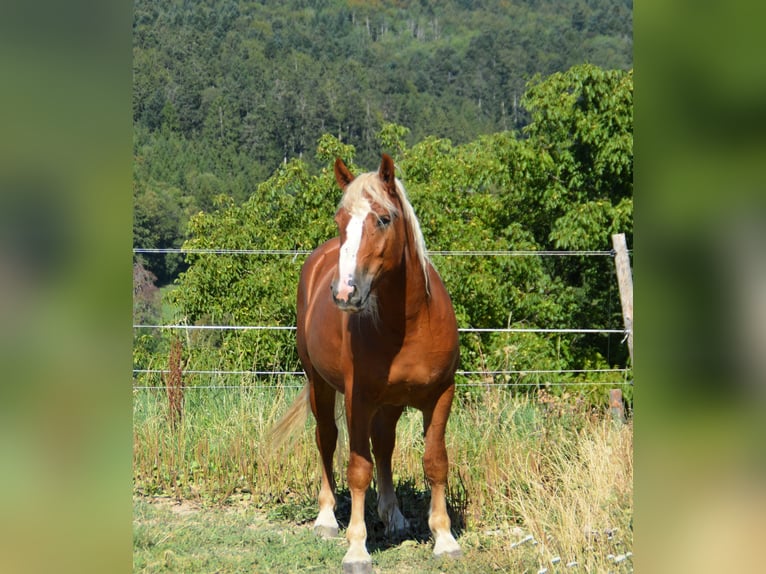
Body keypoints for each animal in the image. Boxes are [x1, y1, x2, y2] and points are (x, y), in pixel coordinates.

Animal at [271, 154, 461, 573]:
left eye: (384, 219)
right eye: (340, 220)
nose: (344, 292)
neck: (410, 323)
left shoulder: (441, 395)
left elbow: (435, 462)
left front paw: (444, 538)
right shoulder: (358, 399)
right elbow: (358, 469)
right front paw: (356, 548)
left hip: (389, 404)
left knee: (384, 446)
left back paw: (393, 516)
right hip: (321, 386)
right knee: (327, 440)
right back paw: (327, 519)